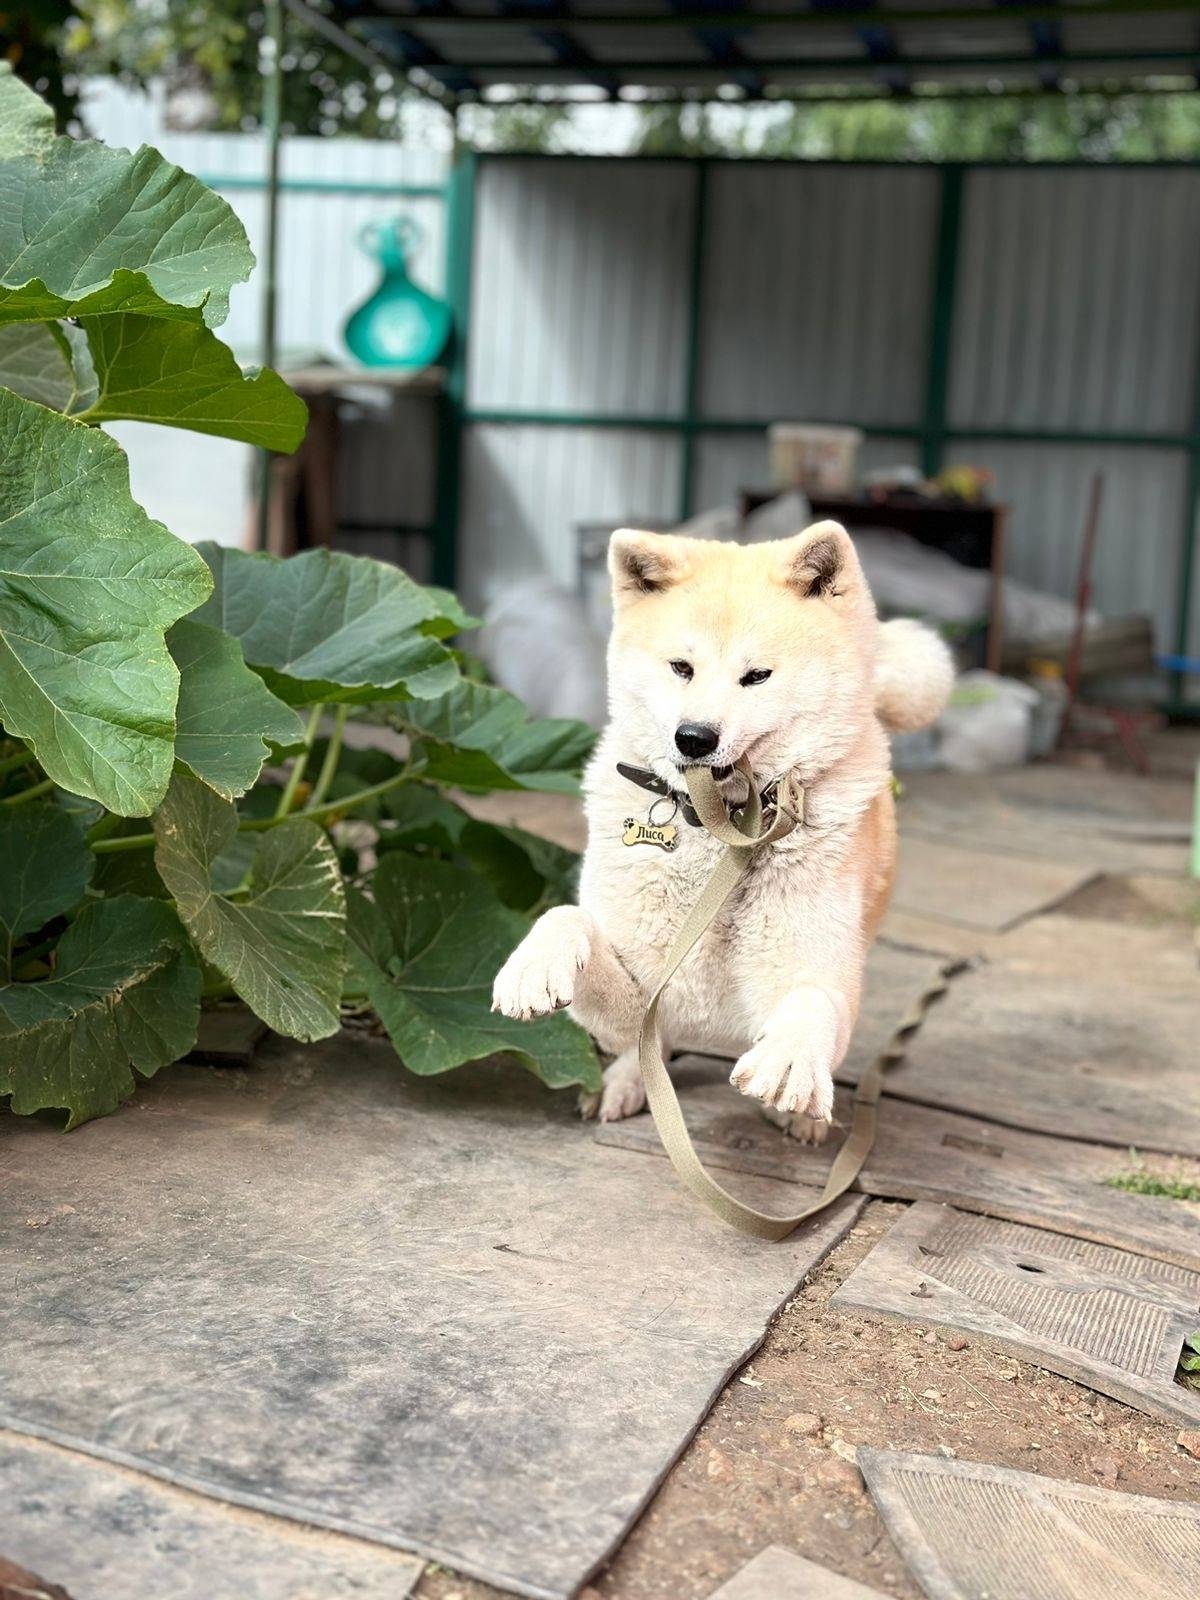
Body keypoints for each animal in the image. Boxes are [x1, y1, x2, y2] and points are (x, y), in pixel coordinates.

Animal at [492, 521, 954, 1141]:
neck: (720, 830)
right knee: (651, 1053)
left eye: (756, 676)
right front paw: (533, 966)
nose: (694, 737)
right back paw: (625, 1083)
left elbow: (812, 1003)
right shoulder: (638, 1000)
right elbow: (568, 918)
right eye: (681, 668)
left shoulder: (816, 976)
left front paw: (790, 1066)